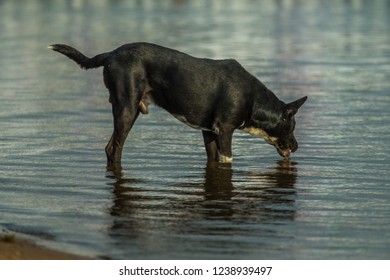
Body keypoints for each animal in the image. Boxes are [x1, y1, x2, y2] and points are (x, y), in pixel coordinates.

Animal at [48, 41, 306, 164]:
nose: (296, 147)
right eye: (292, 127)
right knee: (113, 149)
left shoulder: (209, 131)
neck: (252, 99)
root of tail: (111, 53)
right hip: (126, 109)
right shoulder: (224, 130)